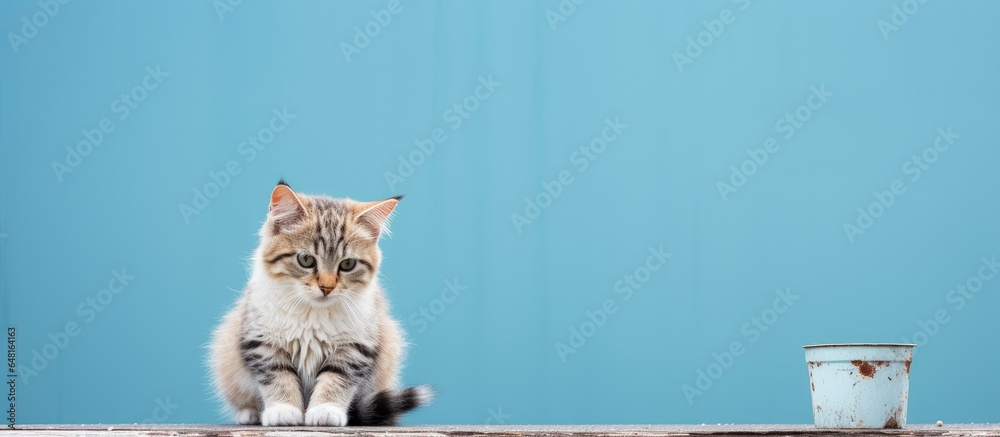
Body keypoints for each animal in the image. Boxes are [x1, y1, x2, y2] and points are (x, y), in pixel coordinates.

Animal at [207, 181, 430, 426]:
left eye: (348, 264)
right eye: (306, 260)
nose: (327, 287)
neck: (312, 313)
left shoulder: (355, 346)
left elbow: (336, 379)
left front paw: (326, 410)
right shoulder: (261, 341)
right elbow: (278, 376)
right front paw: (283, 410)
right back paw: (250, 413)